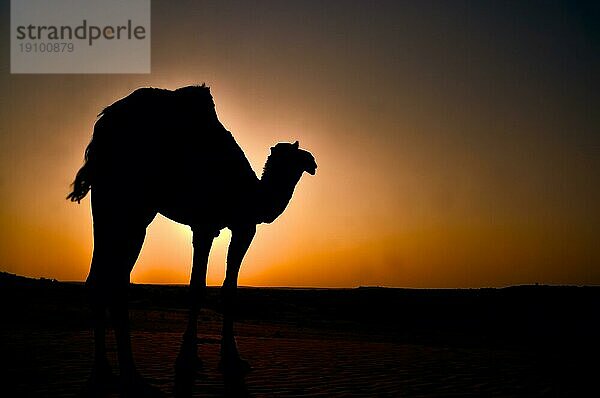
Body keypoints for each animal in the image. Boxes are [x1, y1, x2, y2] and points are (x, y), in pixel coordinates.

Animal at [68, 84, 316, 394]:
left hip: (105, 203)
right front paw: (214, 360)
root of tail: (103, 126)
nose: (313, 161)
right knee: (116, 279)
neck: (254, 196)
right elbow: (213, 288)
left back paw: (103, 374)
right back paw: (132, 378)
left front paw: (200, 358)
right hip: (134, 204)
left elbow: (207, 285)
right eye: (296, 154)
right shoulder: (235, 225)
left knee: (100, 278)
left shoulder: (206, 226)